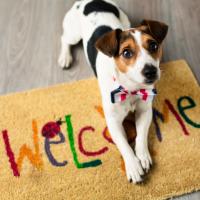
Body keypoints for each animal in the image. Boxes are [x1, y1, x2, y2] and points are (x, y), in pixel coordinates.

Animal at [57, 0, 167, 184]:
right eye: (126, 52)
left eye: (153, 45)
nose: (151, 71)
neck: (130, 88)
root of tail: (90, 2)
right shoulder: (113, 122)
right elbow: (124, 145)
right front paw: (133, 166)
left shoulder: (145, 111)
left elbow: (141, 135)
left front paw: (143, 155)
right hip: (73, 33)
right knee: (65, 39)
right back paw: (65, 57)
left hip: (125, 20)